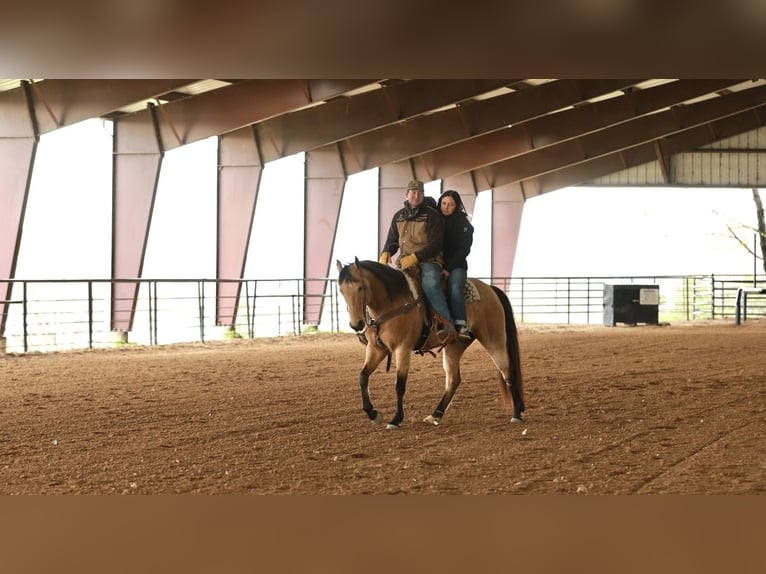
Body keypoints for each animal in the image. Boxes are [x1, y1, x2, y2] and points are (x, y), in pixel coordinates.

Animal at [335, 258, 525, 429]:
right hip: (454, 346)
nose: (356, 324)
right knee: (453, 380)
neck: (391, 303)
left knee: (508, 371)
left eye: (360, 288)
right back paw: (435, 415)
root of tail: (491, 289)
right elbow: (363, 377)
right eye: (341, 291)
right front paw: (373, 414)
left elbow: (399, 385)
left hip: (494, 339)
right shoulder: (376, 349)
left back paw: (516, 414)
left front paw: (395, 419)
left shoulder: (403, 348)